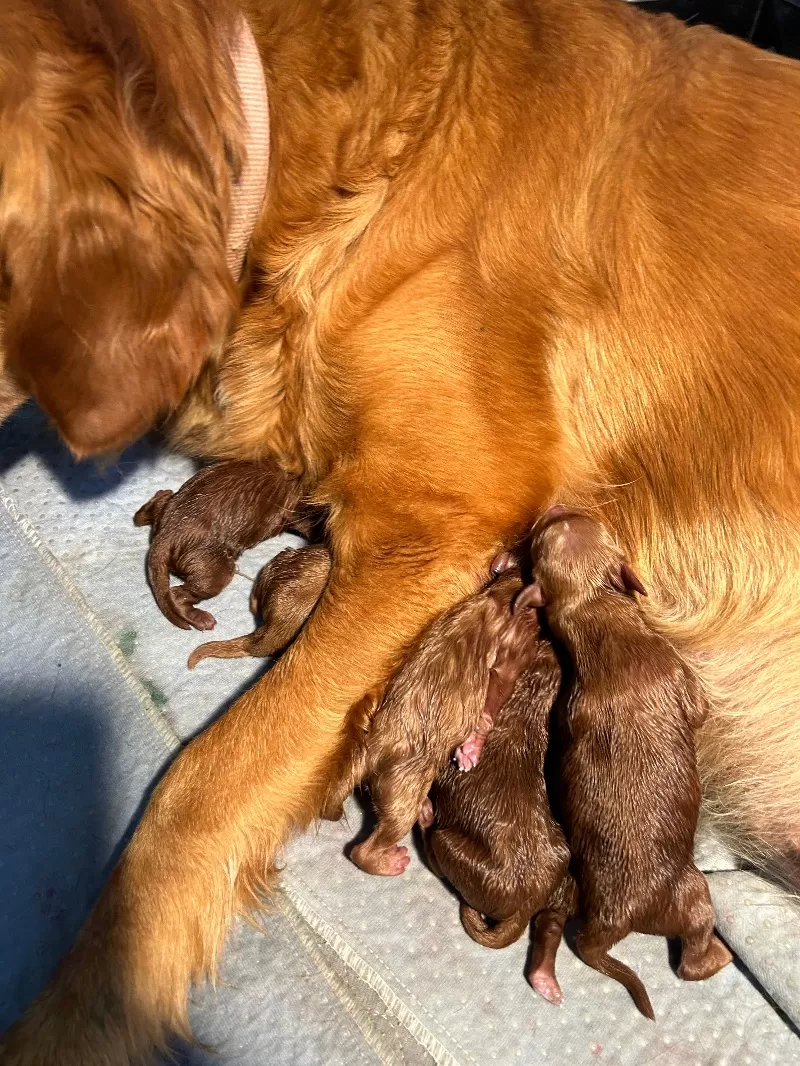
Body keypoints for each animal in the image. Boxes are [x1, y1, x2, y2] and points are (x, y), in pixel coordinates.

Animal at [134, 460, 315, 631]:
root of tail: (166, 535)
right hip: (212, 568)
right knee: (178, 594)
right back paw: (201, 619)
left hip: (167, 509)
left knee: (148, 510)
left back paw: (159, 496)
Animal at [426, 639, 576, 1006]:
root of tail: (524, 905)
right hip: (563, 867)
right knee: (552, 920)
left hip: (449, 844)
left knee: (436, 852)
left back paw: (425, 816)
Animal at [522, 511, 738, 1019]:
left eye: (571, 523)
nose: (553, 509)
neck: (599, 614)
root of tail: (612, 922)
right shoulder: (679, 674)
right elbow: (700, 710)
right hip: (691, 894)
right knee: (691, 954)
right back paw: (718, 956)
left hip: (575, 885)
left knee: (552, 919)